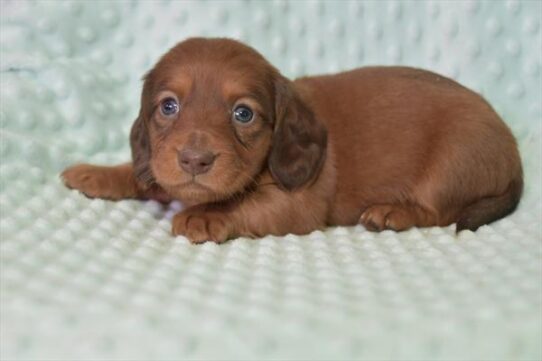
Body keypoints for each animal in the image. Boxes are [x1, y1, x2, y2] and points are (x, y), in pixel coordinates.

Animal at [61, 38, 524, 243]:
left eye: (243, 113)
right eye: (168, 106)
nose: (194, 160)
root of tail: (514, 151)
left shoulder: (295, 204)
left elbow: (239, 204)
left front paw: (204, 216)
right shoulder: (162, 165)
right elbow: (147, 173)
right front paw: (96, 173)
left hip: (451, 164)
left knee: (437, 210)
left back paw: (393, 212)